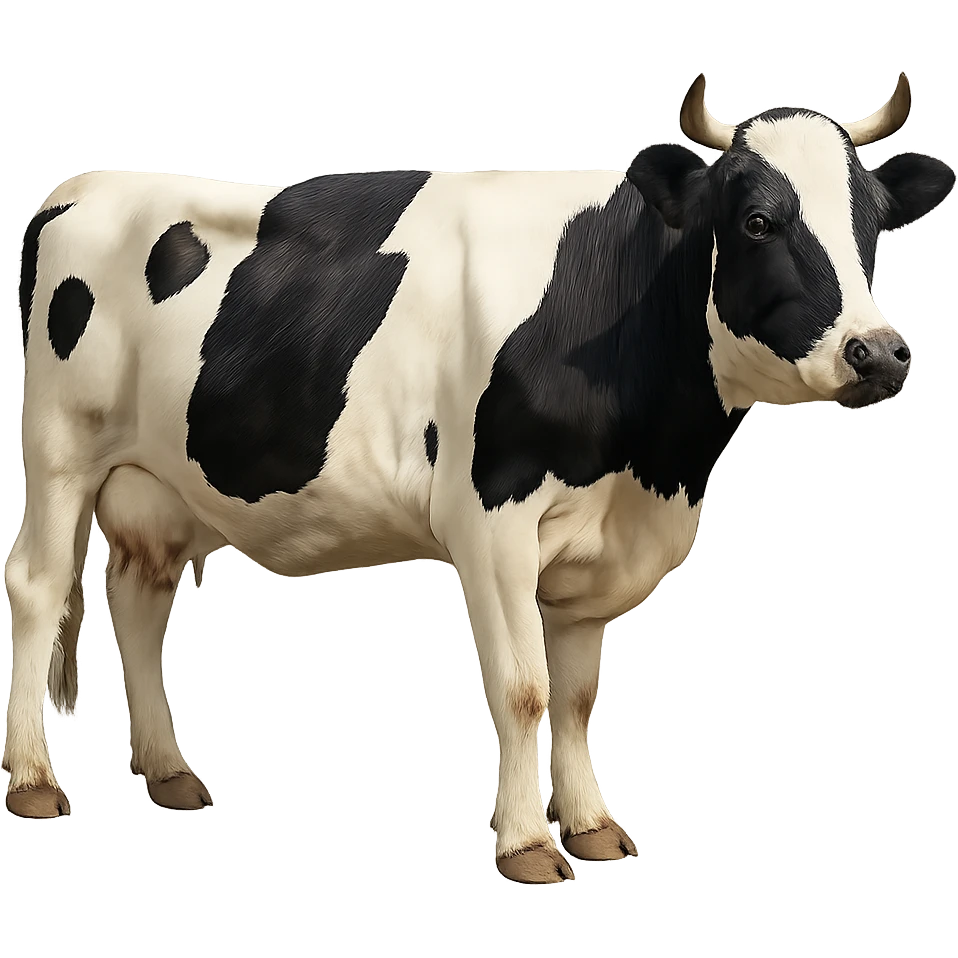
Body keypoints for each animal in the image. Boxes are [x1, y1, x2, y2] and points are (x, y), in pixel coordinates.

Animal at [5, 73, 952, 879]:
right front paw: (528, 845)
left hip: (155, 481)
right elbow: (525, 688)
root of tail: (81, 186)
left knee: (140, 599)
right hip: (58, 454)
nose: (878, 353)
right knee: (39, 586)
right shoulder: (489, 514)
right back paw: (32, 784)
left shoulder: (600, 545)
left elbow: (576, 699)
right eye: (757, 220)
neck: (653, 462)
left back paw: (170, 774)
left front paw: (593, 826)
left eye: (873, 222)